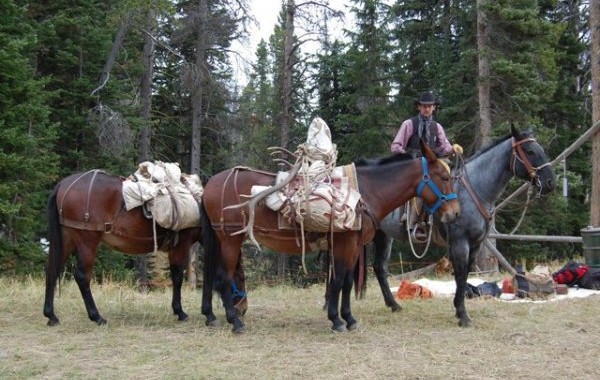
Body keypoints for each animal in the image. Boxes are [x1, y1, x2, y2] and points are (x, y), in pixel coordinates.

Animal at [43, 171, 202, 326]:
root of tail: (64, 184)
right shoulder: (181, 244)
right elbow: (177, 277)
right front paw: (179, 311)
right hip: (87, 240)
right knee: (82, 276)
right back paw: (96, 316)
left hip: (67, 238)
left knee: (52, 269)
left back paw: (51, 315)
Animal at [200, 141, 460, 332]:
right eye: (445, 178)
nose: (455, 213)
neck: (367, 191)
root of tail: (209, 184)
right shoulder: (345, 244)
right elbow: (338, 280)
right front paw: (336, 319)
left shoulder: (352, 246)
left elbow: (346, 282)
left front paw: (348, 318)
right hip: (230, 240)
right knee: (223, 279)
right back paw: (235, 322)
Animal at [372, 124, 556, 326]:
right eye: (530, 151)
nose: (550, 182)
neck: (475, 190)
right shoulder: (460, 242)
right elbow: (460, 275)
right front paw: (463, 315)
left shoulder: (475, 244)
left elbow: (465, 274)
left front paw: (459, 310)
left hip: (383, 235)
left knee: (379, 267)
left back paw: (393, 304)